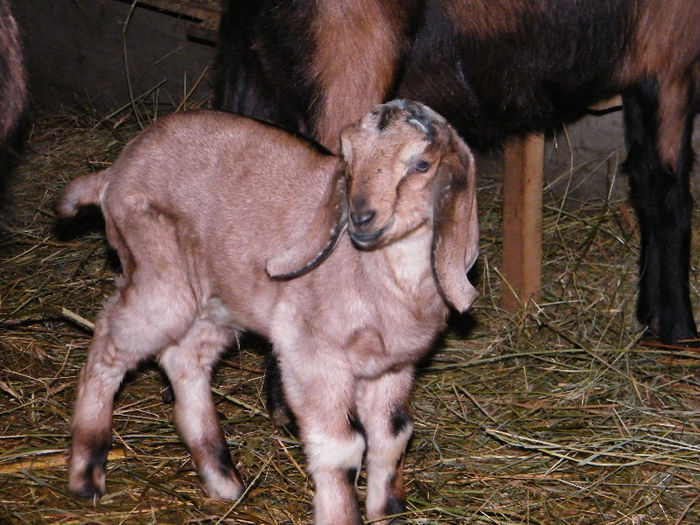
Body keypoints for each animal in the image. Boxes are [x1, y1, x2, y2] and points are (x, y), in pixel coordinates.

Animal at [56, 99, 482, 524]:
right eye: (348, 158)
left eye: (422, 165)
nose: (361, 217)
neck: (377, 275)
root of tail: (113, 173)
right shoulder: (311, 356)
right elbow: (340, 447)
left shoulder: (393, 367)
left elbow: (393, 435)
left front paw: (385, 510)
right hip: (158, 274)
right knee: (110, 343)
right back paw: (87, 475)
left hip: (219, 299)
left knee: (186, 358)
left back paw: (223, 479)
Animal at [215, 0, 700, 346]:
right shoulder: (669, 55)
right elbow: (669, 195)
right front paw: (679, 330)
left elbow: (648, 187)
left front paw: (652, 317)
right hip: (348, 65)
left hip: (257, 78)